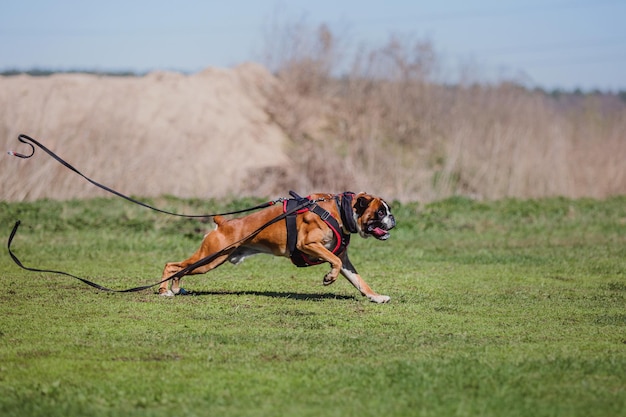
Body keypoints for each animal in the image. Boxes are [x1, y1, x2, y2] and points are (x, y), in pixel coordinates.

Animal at [161, 192, 394, 302]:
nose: (393, 218)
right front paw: (329, 278)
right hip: (209, 258)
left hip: (213, 259)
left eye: (387, 210)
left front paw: (375, 296)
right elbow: (333, 261)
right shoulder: (308, 244)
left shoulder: (345, 261)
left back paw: (175, 288)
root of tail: (224, 223)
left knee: (179, 269)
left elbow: (359, 281)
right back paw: (165, 290)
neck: (339, 210)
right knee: (172, 265)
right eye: (380, 212)